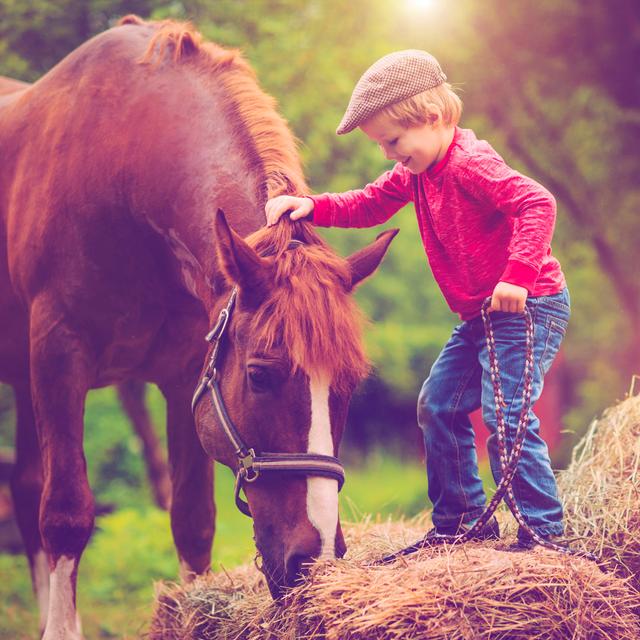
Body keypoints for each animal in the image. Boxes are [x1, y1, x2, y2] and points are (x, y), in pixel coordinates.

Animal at [0, 15, 398, 640]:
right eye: (260, 376)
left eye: (351, 385)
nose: (311, 561)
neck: (121, 164)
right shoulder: (58, 355)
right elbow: (65, 512)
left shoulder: (187, 372)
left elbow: (192, 519)